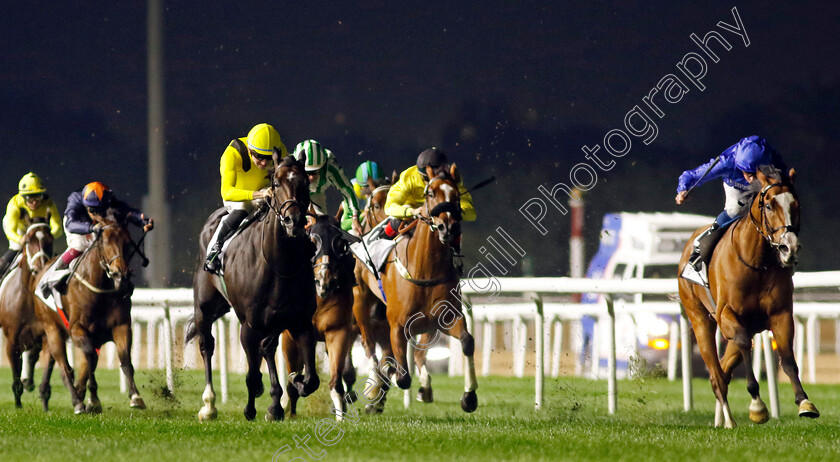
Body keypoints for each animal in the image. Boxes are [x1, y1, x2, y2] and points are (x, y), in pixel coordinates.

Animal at [0, 218, 54, 410]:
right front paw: (18, 405)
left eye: (49, 239)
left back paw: (28, 381)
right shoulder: (11, 341)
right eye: (29, 240)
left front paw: (45, 403)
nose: (42, 265)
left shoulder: (47, 334)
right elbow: (15, 375)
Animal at [191, 156, 322, 422]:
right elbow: (251, 374)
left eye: (305, 182)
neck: (279, 265)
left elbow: (311, 379)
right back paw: (209, 406)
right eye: (276, 182)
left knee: (267, 348)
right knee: (207, 345)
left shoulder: (300, 321)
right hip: (205, 307)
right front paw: (251, 409)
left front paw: (294, 384)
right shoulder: (249, 325)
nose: (293, 221)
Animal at [282, 215, 354, 420]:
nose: (324, 281)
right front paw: (287, 412)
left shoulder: (338, 332)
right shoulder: (289, 335)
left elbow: (335, 380)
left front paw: (340, 416)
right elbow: (292, 378)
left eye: (340, 244)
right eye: (313, 242)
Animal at [352, 164, 476, 414]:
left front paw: (469, 396)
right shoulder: (397, 325)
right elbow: (401, 376)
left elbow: (467, 342)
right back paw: (374, 389)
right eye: (430, 194)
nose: (447, 227)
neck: (425, 269)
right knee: (369, 347)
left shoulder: (446, 318)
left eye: (456, 195)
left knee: (415, 353)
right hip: (361, 302)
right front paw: (378, 389)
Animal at [676, 166, 820, 430]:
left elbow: (787, 358)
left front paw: (805, 403)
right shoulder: (726, 314)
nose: (789, 247)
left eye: (796, 205)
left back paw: (722, 419)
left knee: (723, 369)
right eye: (769, 205)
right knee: (716, 374)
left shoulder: (781, 314)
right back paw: (730, 420)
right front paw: (757, 406)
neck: (756, 263)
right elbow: (744, 344)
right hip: (700, 318)